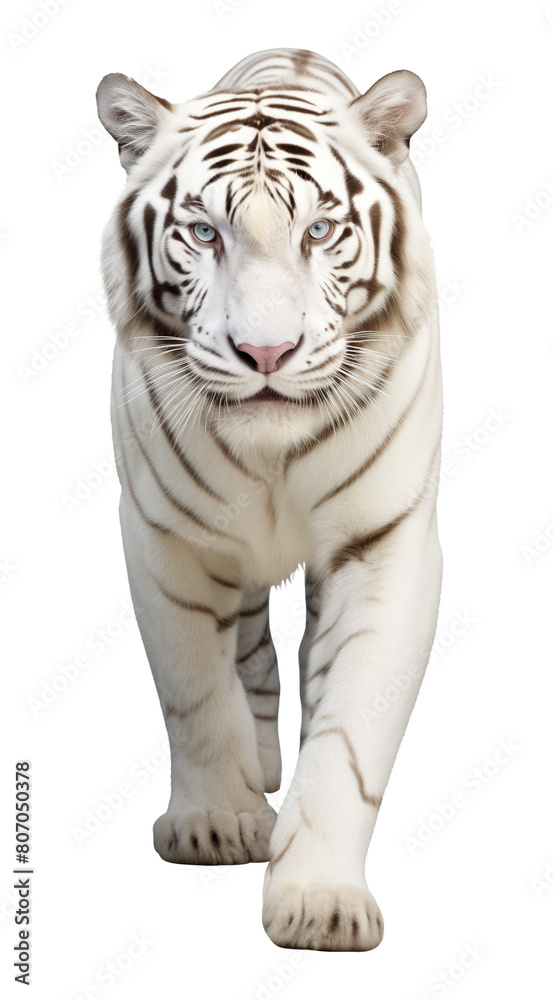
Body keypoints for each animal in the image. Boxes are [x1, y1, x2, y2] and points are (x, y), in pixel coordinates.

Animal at [96, 46, 443, 952]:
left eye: (319, 231)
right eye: (203, 233)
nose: (265, 352)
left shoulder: (383, 543)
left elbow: (350, 727)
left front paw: (319, 900)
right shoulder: (167, 537)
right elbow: (195, 691)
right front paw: (217, 822)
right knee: (248, 655)